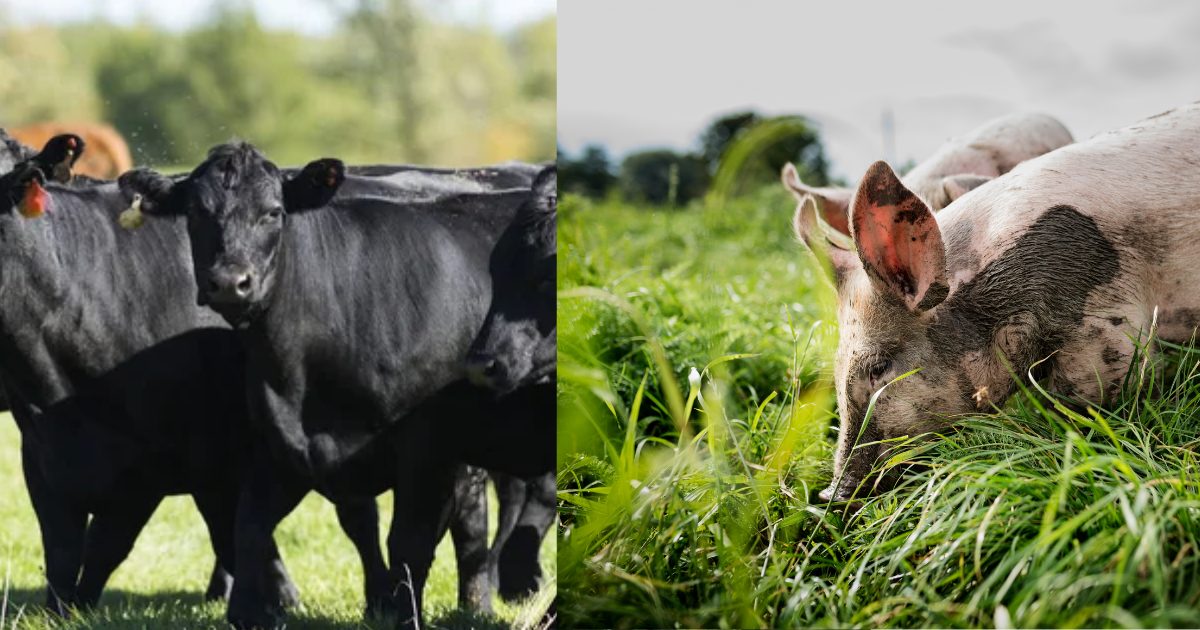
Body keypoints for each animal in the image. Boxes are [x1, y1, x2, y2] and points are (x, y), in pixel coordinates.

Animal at [119, 143, 547, 629]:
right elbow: (250, 527)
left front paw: (402, 612)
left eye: (274, 212)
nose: (230, 282)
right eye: (195, 212)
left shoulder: (424, 451)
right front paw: (249, 610)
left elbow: (409, 543)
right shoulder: (284, 445)